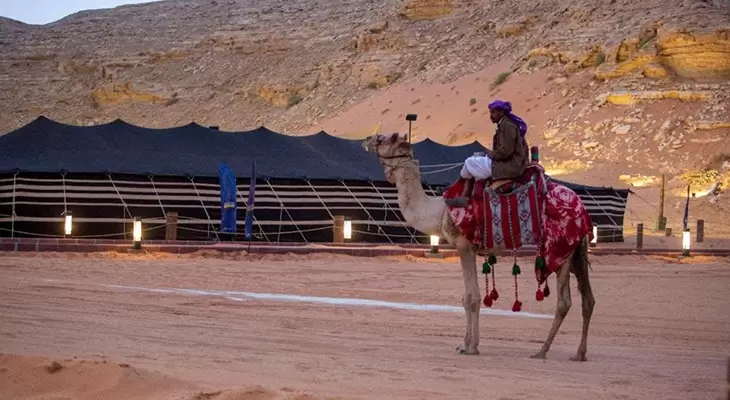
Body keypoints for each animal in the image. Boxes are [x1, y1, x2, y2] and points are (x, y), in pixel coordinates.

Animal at [362, 133, 596, 360]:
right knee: (588, 299)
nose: (366, 140)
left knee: (564, 302)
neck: (440, 211)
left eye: (383, 139)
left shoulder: (464, 245)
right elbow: (467, 297)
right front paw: (464, 344)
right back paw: (580, 353)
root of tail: (581, 208)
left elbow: (472, 297)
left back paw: (542, 351)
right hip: (576, 251)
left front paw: (470, 347)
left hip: (560, 249)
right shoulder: (471, 249)